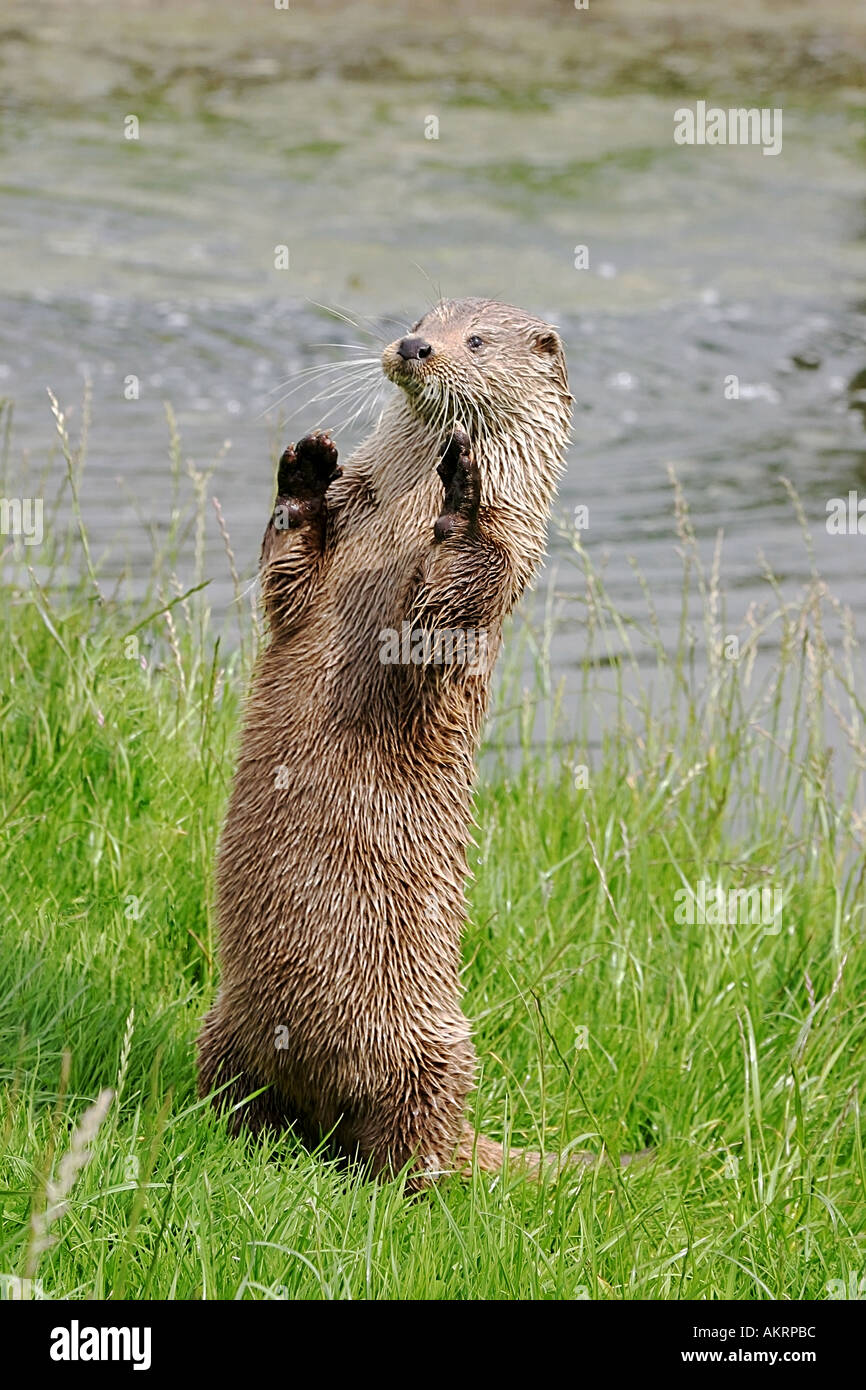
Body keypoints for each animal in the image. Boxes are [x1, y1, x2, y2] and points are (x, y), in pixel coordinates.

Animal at [197, 296, 575, 1184]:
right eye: (423, 317)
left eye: (475, 340)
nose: (413, 347)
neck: (397, 519)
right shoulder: (322, 560)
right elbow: (286, 574)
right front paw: (305, 471)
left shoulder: (500, 568)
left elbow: (449, 601)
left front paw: (463, 493)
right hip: (223, 1024)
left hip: (429, 1054)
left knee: (414, 1147)